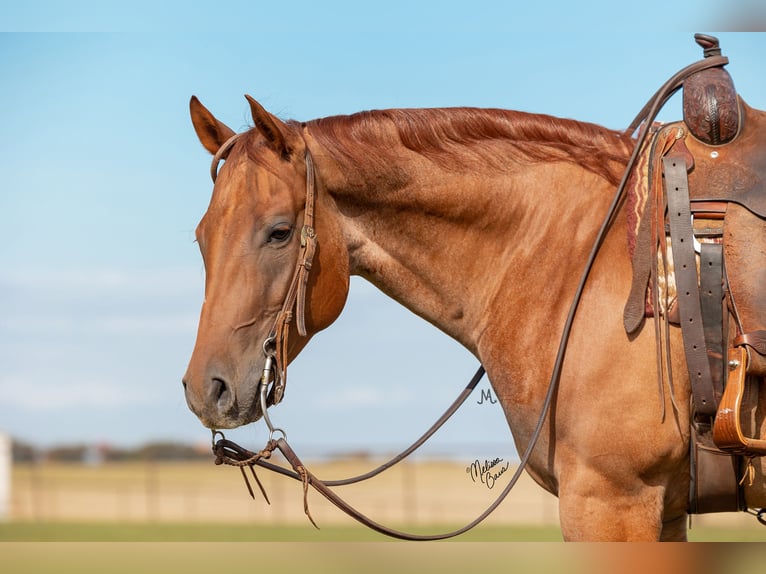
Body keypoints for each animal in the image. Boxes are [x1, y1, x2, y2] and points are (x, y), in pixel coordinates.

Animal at [182, 89, 766, 540]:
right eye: (201, 237)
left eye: (280, 232)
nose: (206, 390)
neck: (575, 260)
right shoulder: (658, 510)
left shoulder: (612, 500)